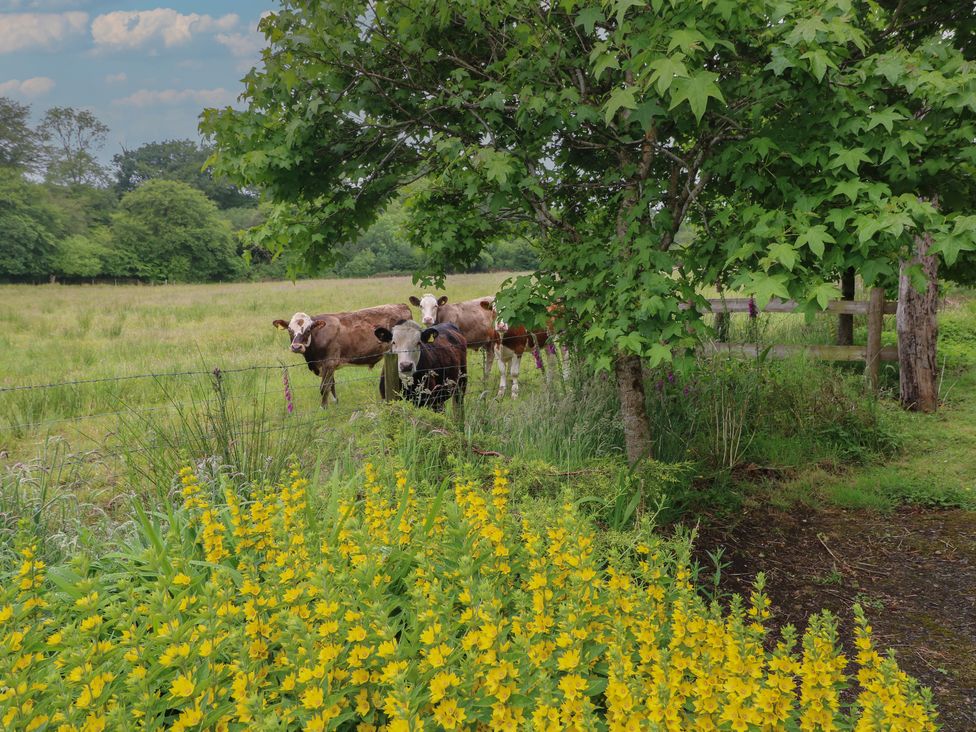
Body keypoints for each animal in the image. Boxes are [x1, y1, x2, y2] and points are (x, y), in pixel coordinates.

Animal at [270, 302, 412, 406]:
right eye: (289, 330)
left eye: (308, 329)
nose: (296, 347)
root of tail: (401, 305)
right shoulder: (328, 366)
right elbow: (331, 385)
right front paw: (335, 402)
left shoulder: (329, 363)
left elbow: (324, 387)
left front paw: (324, 407)